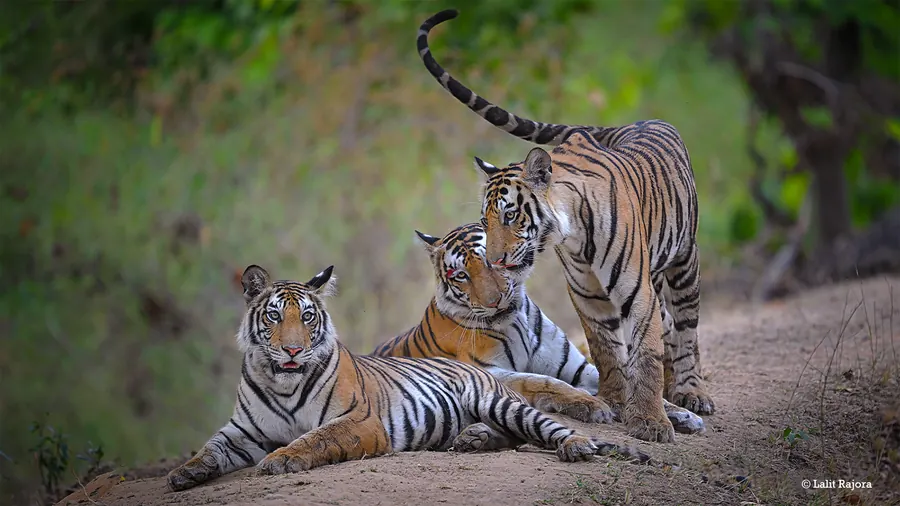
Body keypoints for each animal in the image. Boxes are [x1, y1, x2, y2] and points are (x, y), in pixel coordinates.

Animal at [166, 264, 650, 492]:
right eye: (273, 317)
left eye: (306, 317)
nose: (292, 350)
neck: (281, 381)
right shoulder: (242, 431)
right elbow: (210, 448)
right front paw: (184, 473)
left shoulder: (359, 420)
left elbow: (315, 438)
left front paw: (282, 458)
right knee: (513, 434)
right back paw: (473, 439)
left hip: (497, 400)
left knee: (545, 426)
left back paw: (576, 446)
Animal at [371, 223, 705, 435]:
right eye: (461, 275)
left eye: (493, 262)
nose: (493, 302)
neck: (515, 319)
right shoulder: (488, 372)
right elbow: (545, 381)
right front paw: (592, 405)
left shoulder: (575, 365)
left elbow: (625, 379)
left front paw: (681, 414)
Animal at [416, 9, 715, 444]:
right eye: (485, 220)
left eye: (510, 215)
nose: (496, 260)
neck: (574, 234)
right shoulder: (587, 293)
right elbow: (606, 349)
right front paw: (613, 402)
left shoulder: (636, 289)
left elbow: (644, 350)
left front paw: (650, 422)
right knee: (669, 326)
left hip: (683, 262)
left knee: (687, 326)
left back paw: (692, 392)